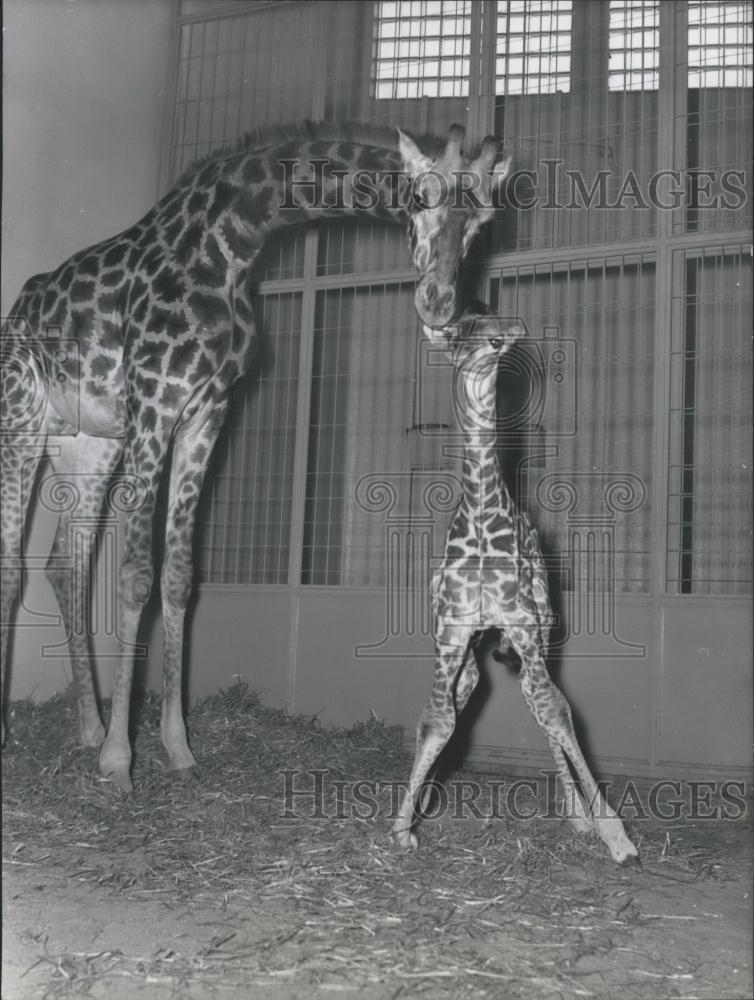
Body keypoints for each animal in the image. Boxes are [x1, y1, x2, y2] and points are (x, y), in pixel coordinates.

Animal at [1, 121, 512, 788]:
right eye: (420, 198)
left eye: (484, 222)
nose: (438, 302)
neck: (233, 243)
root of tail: (21, 309)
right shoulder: (155, 404)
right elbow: (137, 576)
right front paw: (120, 762)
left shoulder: (205, 414)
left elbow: (179, 576)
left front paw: (177, 748)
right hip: (24, 417)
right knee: (15, 566)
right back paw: (35, 734)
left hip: (86, 442)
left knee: (67, 562)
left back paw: (86, 728)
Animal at [390, 310, 636, 868]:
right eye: (460, 334)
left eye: (494, 329)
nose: (499, 339)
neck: (483, 518)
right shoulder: (451, 635)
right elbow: (436, 720)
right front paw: (402, 826)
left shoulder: (523, 628)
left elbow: (555, 710)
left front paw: (616, 837)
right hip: (479, 653)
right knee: (477, 697)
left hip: (541, 633)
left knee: (543, 702)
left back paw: (580, 817)